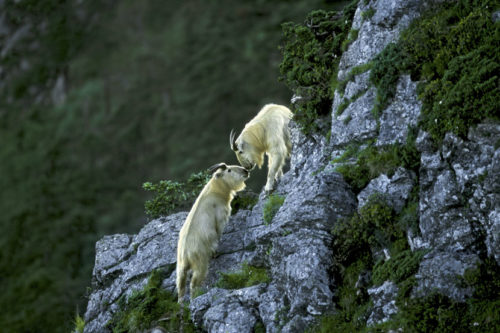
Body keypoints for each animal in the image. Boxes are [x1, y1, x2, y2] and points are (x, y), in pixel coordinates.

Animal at [176, 162, 250, 302]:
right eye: (229, 170)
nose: (245, 170)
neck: (215, 190)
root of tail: (186, 255)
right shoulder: (220, 219)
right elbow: (218, 234)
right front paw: (216, 252)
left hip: (180, 269)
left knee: (181, 288)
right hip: (201, 264)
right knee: (193, 284)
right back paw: (196, 298)